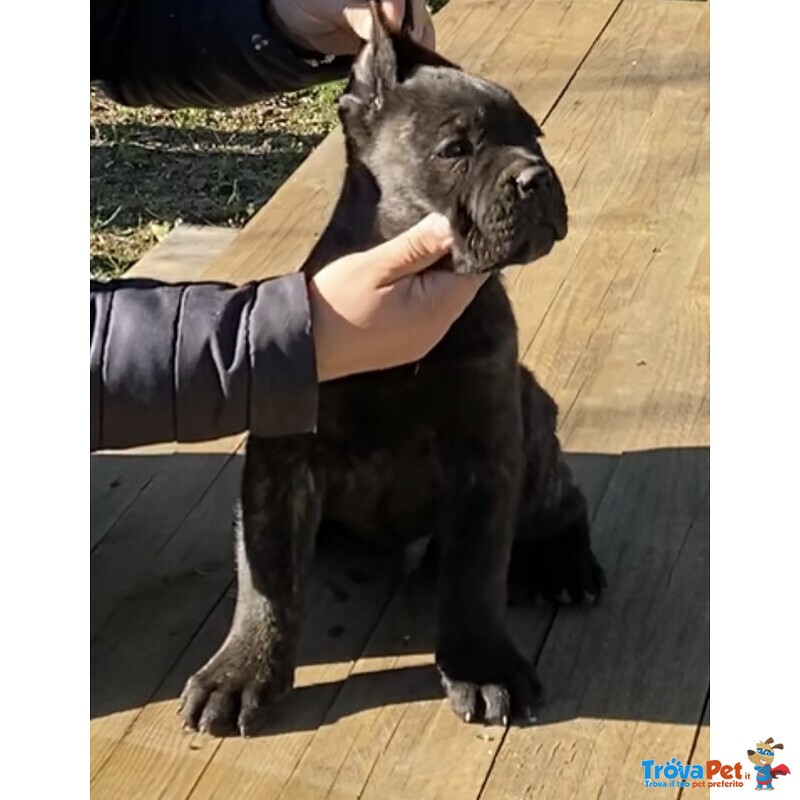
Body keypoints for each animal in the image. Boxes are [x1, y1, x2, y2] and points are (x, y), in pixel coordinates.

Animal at [181, 3, 608, 736]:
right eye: (456, 149)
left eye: (536, 138)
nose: (537, 177)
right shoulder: (281, 457)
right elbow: (265, 576)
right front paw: (242, 673)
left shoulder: (484, 453)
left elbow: (475, 574)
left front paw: (483, 666)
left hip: (532, 421)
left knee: (561, 497)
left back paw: (563, 560)